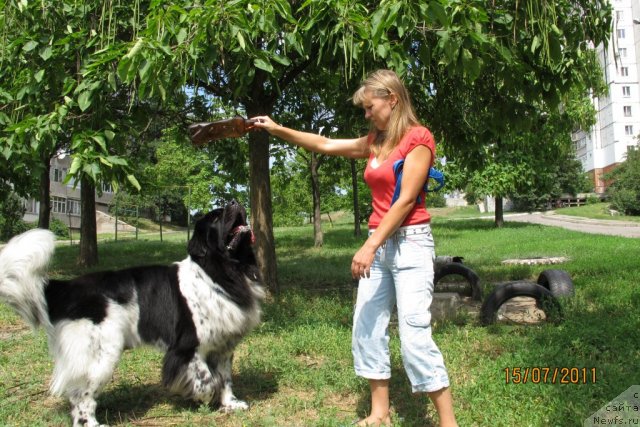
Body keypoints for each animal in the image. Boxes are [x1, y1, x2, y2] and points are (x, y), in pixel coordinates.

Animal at [0, 201, 264, 427]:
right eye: (217, 216)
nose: (234, 201)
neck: (220, 272)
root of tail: (69, 287)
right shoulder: (187, 347)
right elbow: (206, 380)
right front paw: (200, 397)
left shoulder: (224, 345)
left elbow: (225, 378)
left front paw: (230, 404)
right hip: (101, 354)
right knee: (83, 395)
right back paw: (93, 423)